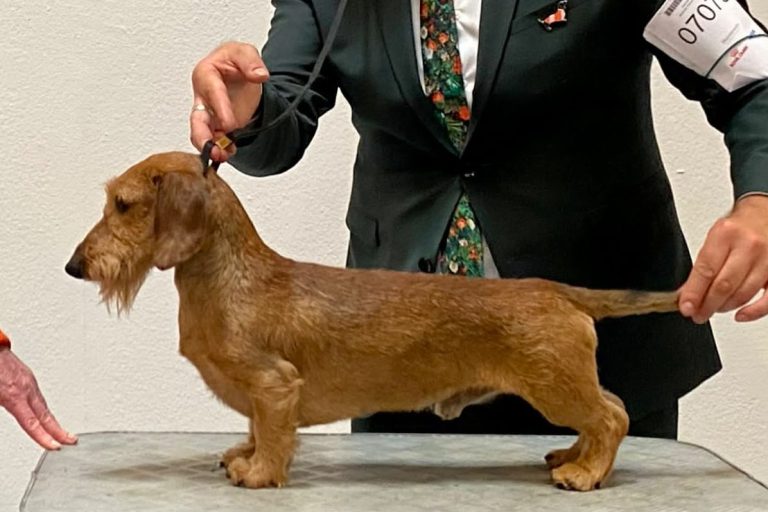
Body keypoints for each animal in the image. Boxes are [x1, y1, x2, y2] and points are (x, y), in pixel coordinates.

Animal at [65, 151, 680, 491]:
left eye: (123, 205)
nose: (75, 266)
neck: (228, 278)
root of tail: (553, 289)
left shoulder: (273, 384)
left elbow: (272, 432)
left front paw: (260, 472)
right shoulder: (260, 394)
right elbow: (255, 428)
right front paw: (245, 455)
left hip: (555, 386)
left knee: (612, 417)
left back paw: (585, 473)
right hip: (563, 385)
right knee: (606, 412)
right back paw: (572, 458)